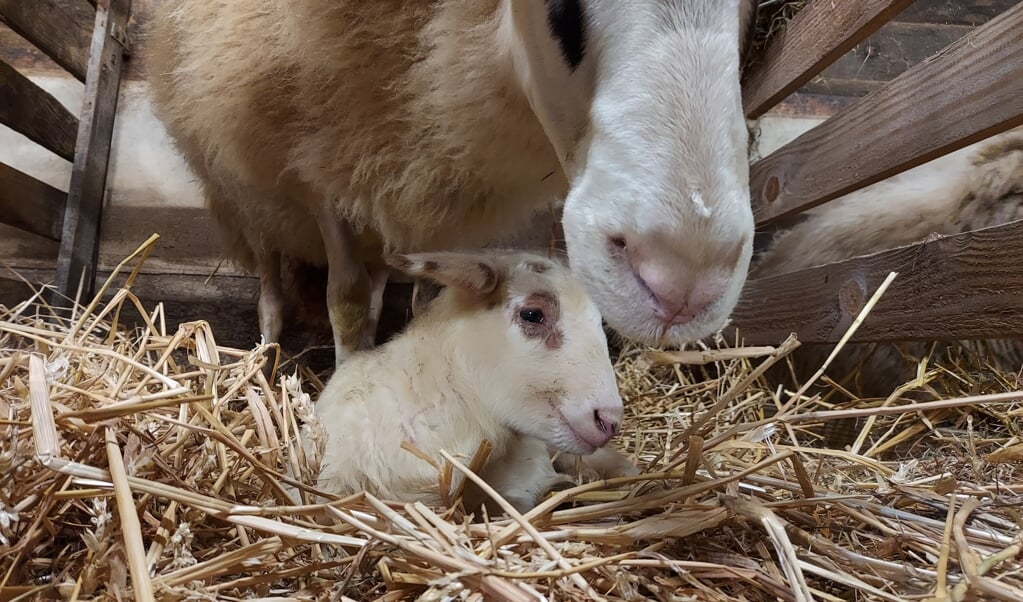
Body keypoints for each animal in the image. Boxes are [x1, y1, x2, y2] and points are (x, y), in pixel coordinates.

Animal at [149, 0, 761, 364]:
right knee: (269, 260)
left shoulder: (427, 184)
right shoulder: (321, 158)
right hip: (241, 186)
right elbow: (345, 299)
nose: (683, 280)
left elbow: (424, 298)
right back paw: (267, 343)